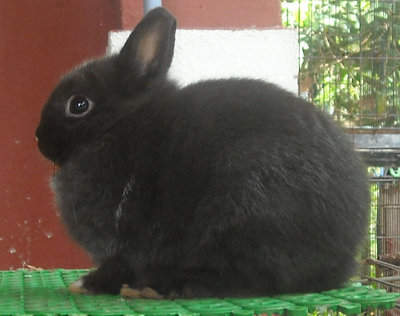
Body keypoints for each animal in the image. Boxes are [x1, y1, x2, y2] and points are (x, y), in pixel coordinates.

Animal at [36, 8, 368, 298]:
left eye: (79, 105)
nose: (39, 138)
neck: (118, 127)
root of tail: (345, 256)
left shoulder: (125, 245)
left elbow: (119, 266)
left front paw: (88, 284)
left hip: (245, 216)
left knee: (253, 277)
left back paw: (166, 285)